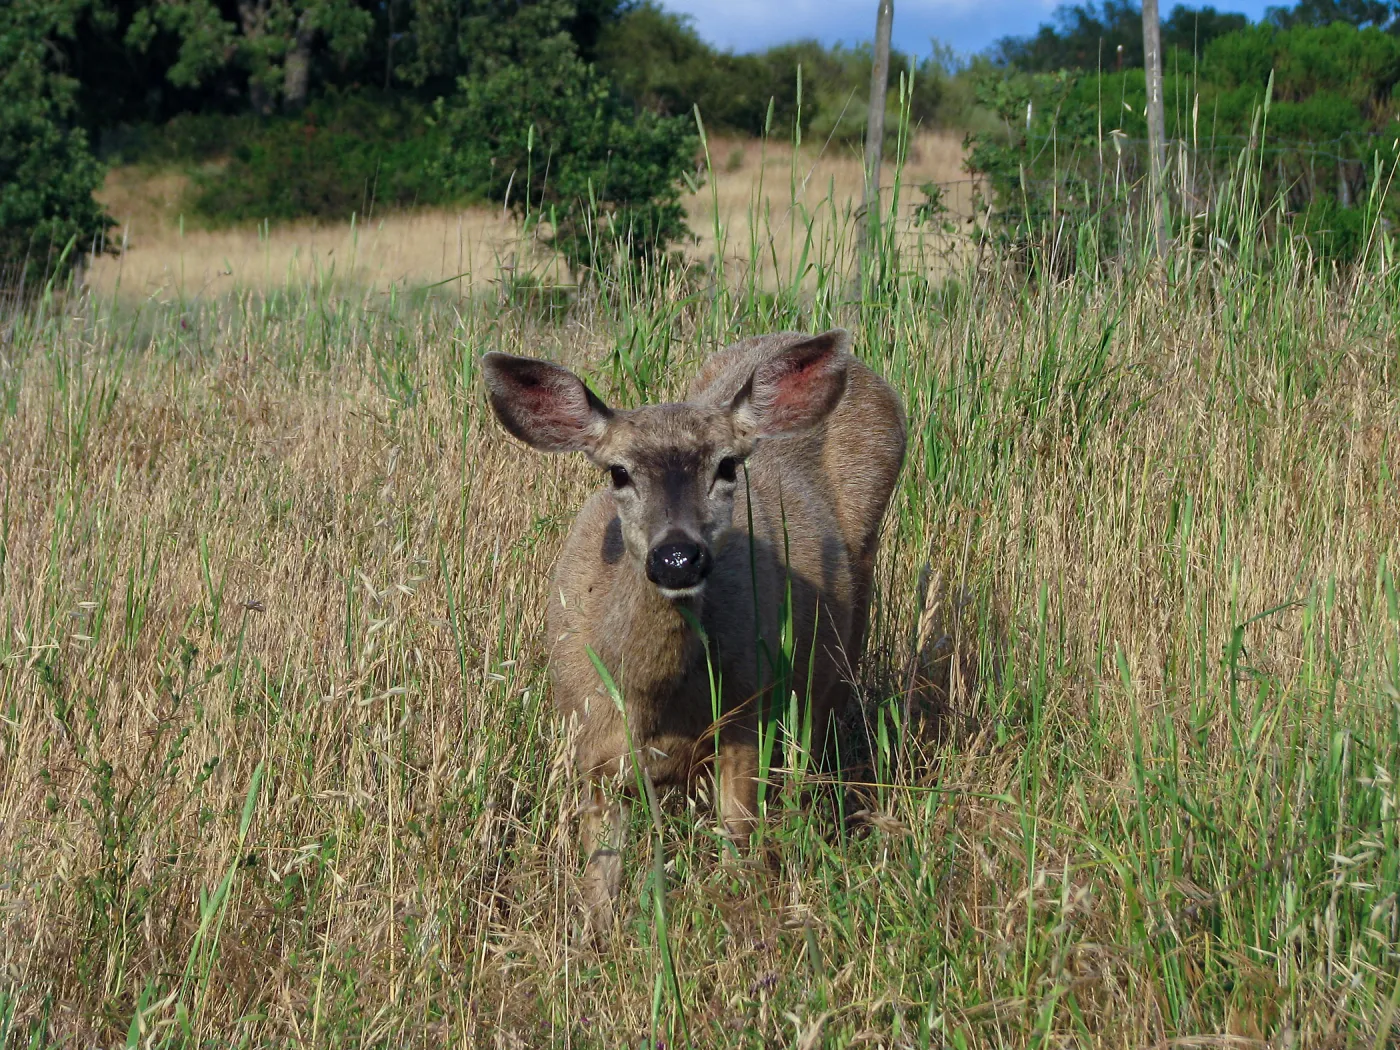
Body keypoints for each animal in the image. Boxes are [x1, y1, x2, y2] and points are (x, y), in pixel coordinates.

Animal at [481, 329, 906, 935]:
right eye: (618, 471)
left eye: (727, 465)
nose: (678, 557)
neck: (651, 700)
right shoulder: (589, 746)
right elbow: (598, 885)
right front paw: (598, 939)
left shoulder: (747, 716)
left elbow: (739, 850)